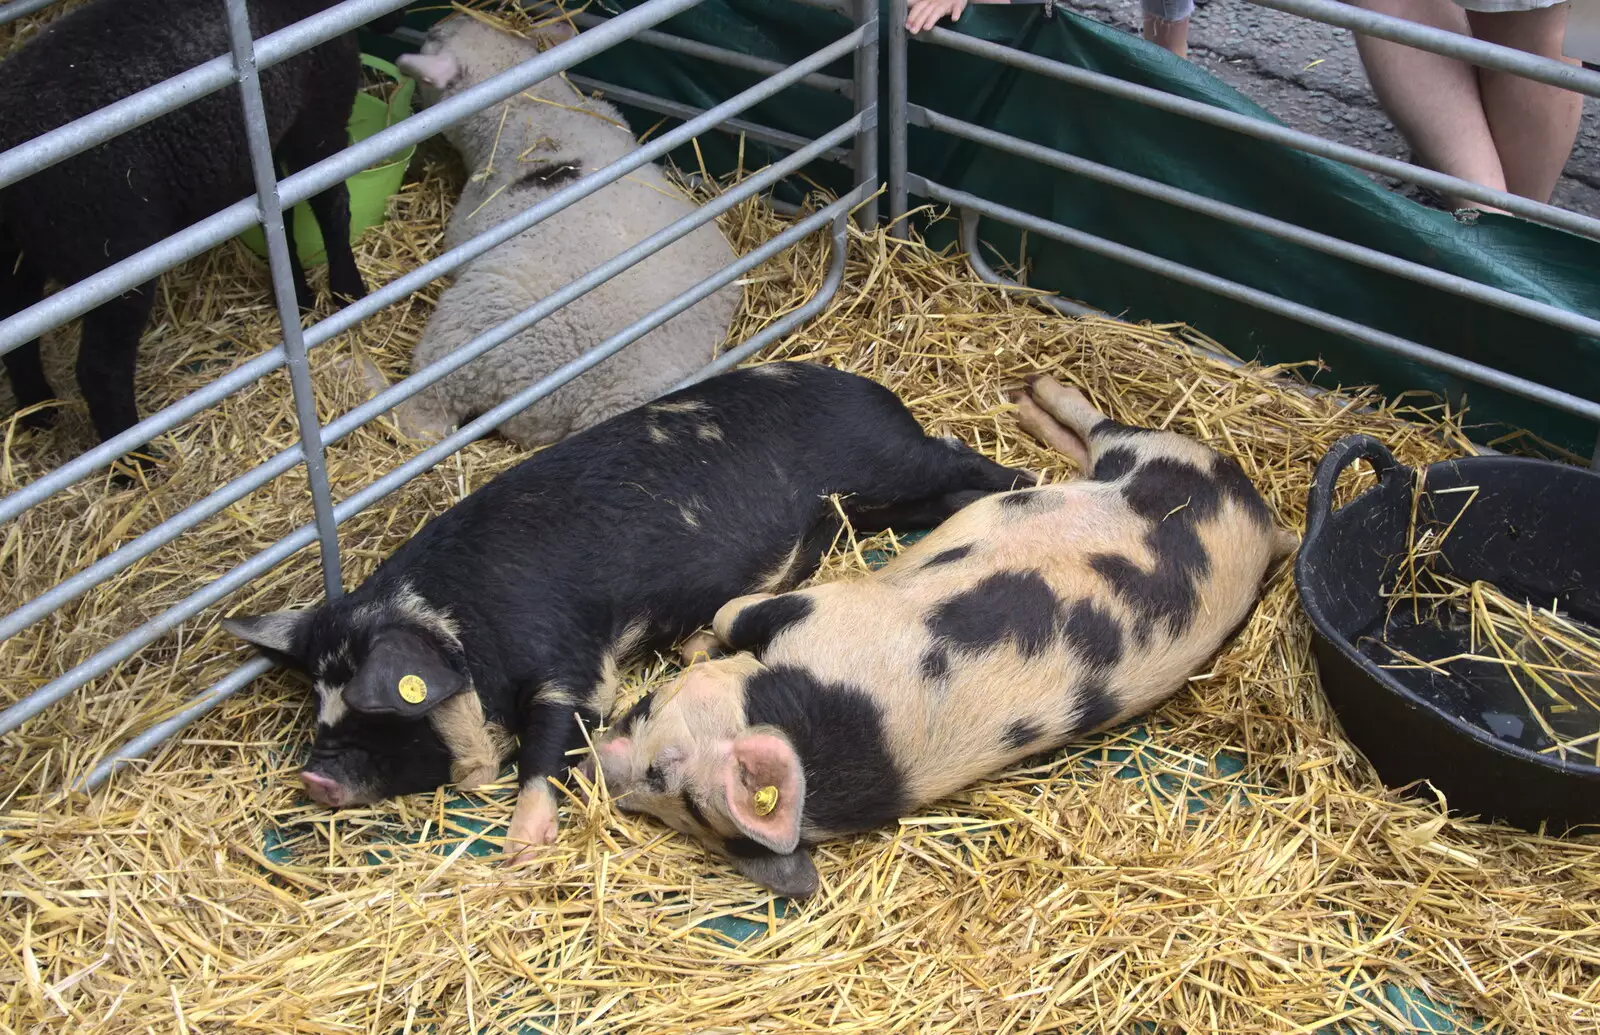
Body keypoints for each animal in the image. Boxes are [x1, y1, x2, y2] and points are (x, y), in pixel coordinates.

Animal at [222, 359, 1024, 863]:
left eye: (382, 714)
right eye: (317, 705)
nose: (313, 777)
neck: (460, 627)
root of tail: (874, 390)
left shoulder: (573, 662)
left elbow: (550, 746)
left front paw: (521, 851)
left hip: (889, 462)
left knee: (966, 459)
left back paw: (1026, 478)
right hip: (869, 502)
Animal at [390, 15, 739, 444]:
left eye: (432, 39)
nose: (444, 19)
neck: (535, 104)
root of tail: (602, 400)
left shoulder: (469, 217)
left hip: (468, 336)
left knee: (425, 415)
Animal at [588, 375, 1299, 895]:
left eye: (662, 773)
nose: (602, 765)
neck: (819, 715)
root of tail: (1262, 517)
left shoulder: (824, 609)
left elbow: (733, 612)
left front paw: (695, 646)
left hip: (1159, 452)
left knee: (1104, 427)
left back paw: (1036, 389)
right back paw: (1024, 408)